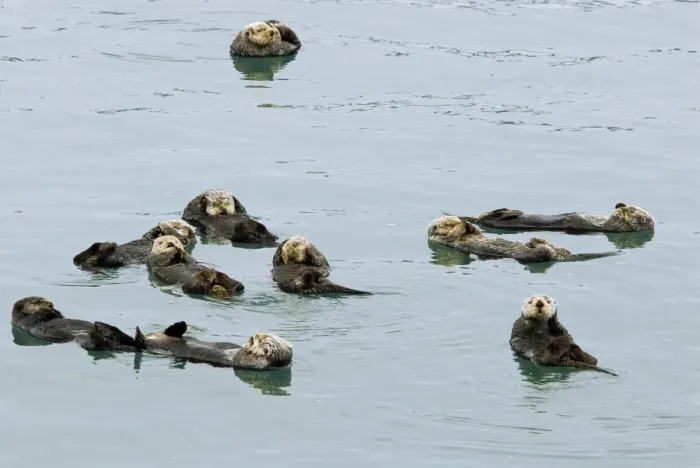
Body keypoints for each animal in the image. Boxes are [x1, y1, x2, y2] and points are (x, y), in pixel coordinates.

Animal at [11, 296, 143, 352]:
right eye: (37, 301)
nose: (50, 303)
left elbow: (59, 316)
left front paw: (55, 311)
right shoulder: (24, 321)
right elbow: (35, 317)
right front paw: (46, 310)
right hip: (82, 340)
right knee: (96, 345)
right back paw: (97, 331)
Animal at [134, 321, 293, 370]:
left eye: (261, 340)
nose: (255, 335)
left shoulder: (247, 361)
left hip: (152, 347)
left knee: (141, 344)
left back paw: (138, 335)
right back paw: (179, 325)